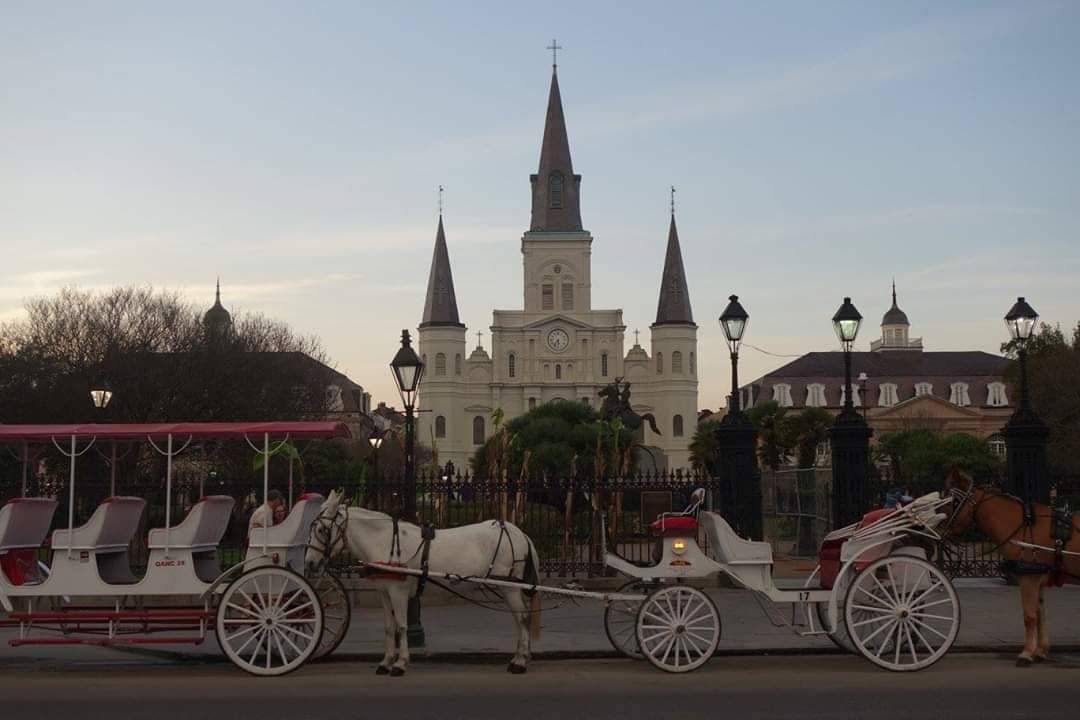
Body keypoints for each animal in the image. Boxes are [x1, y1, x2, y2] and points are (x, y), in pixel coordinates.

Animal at [304, 490, 540, 677]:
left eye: (321, 530)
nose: (309, 562)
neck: (384, 542)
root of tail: (520, 533)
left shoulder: (397, 591)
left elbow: (402, 625)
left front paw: (400, 663)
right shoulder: (384, 592)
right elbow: (389, 627)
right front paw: (386, 662)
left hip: (510, 587)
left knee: (522, 618)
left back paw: (520, 661)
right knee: (519, 619)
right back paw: (520, 656)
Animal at [946, 474, 1080, 669]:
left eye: (954, 502)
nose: (940, 529)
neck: (1023, 524)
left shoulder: (1028, 579)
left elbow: (1029, 616)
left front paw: (1027, 653)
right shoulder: (1037, 577)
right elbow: (1040, 615)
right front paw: (1040, 651)